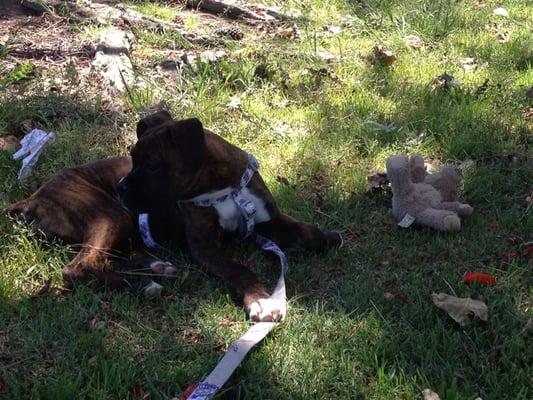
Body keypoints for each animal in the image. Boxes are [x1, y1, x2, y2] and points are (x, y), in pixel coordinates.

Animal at [118, 110, 338, 322]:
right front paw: (259, 299)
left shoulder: (270, 220)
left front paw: (328, 238)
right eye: (133, 160)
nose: (120, 187)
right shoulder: (205, 249)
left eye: (152, 166)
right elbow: (238, 269)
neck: (223, 191)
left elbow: (307, 232)